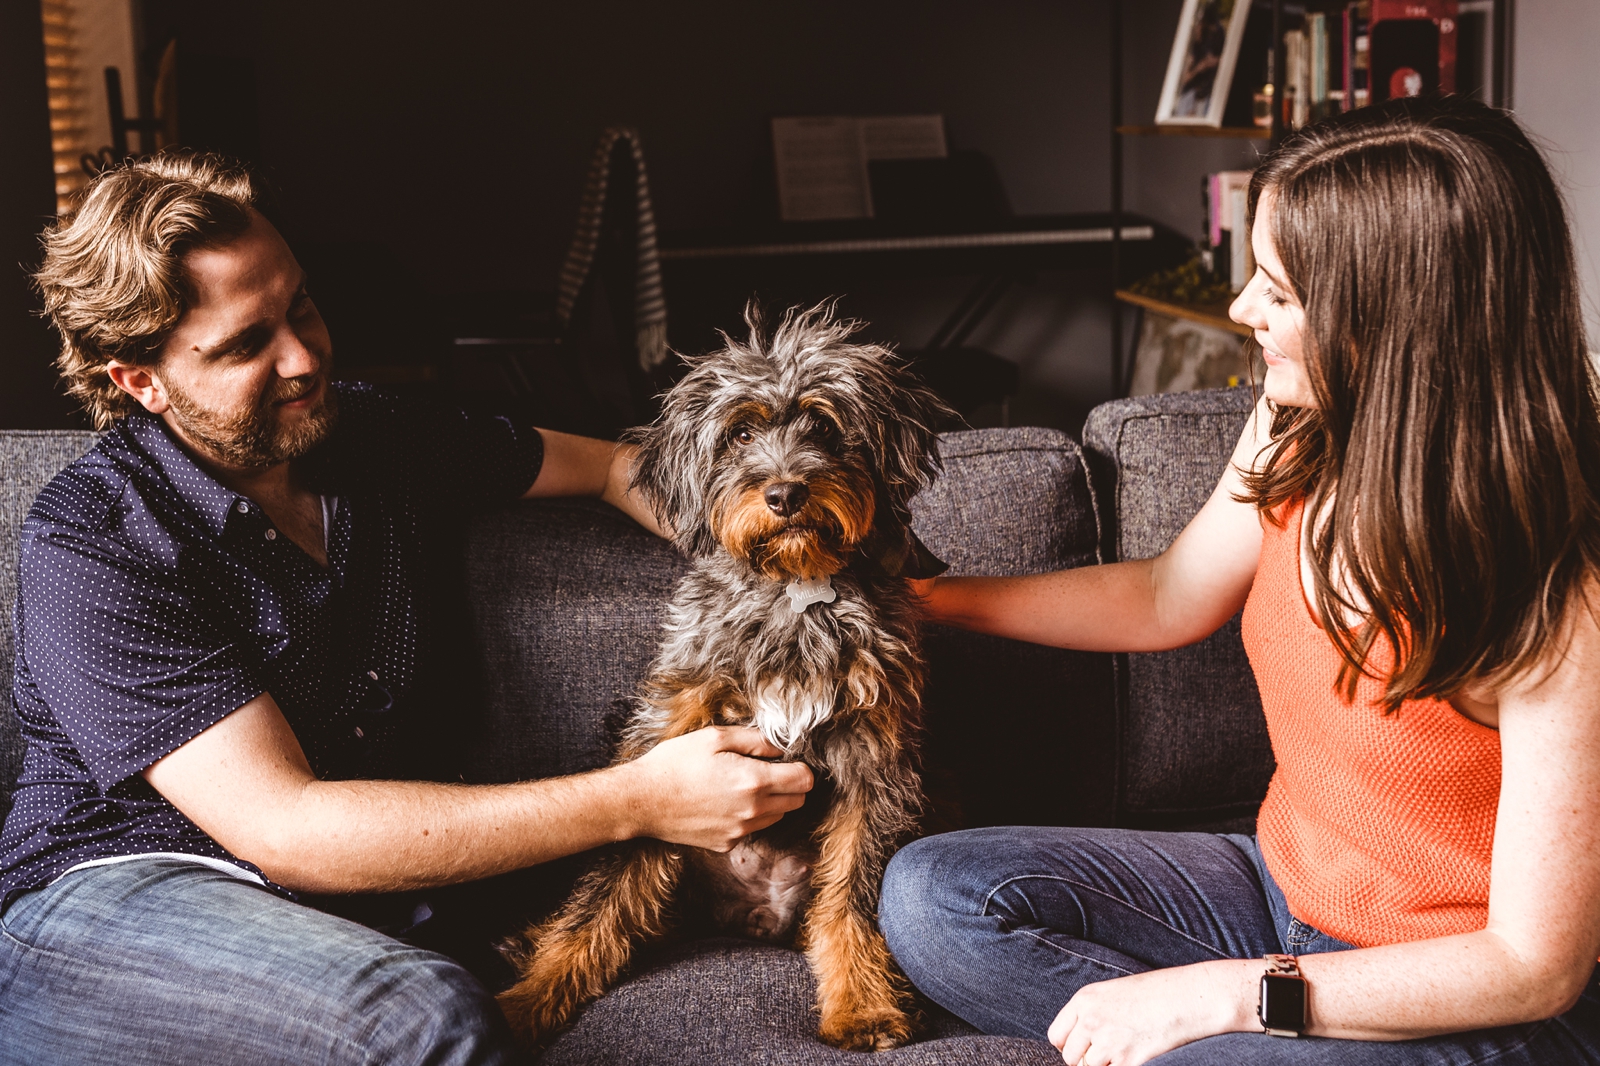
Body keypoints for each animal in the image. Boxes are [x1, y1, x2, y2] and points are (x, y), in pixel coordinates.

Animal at [496, 300, 947, 1043]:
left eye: (823, 425)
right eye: (738, 434)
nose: (785, 493)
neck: (794, 592)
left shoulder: (873, 763)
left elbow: (852, 900)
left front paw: (862, 1006)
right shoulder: (665, 740)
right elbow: (602, 892)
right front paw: (527, 1001)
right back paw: (526, 943)